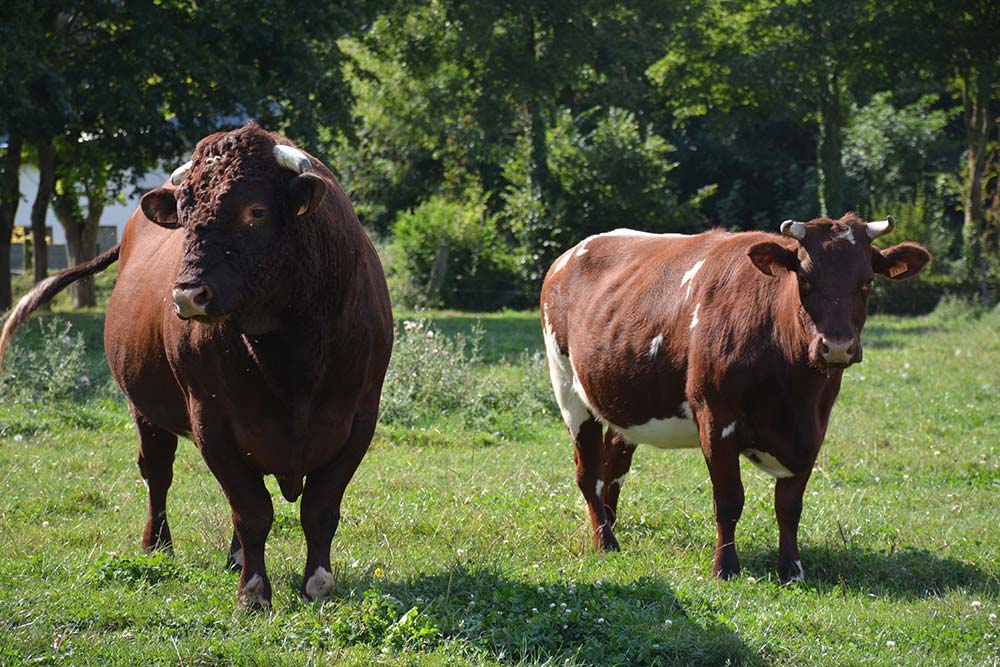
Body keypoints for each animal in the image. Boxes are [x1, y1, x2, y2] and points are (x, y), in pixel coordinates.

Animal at [0, 121, 393, 609]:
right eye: (185, 216)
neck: (292, 354)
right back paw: (158, 546)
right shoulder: (211, 419)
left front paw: (318, 584)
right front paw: (254, 594)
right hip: (144, 409)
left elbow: (319, 508)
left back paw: (235, 557)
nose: (188, 295)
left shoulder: (359, 418)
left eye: (256, 211)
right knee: (158, 473)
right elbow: (252, 510)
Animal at [540, 214, 930, 582]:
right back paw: (605, 542)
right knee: (589, 474)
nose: (836, 347)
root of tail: (568, 256)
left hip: (624, 401)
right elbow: (728, 500)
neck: (794, 392)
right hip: (568, 388)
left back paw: (610, 526)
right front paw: (725, 568)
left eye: (866, 282)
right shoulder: (715, 417)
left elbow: (789, 506)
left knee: (614, 466)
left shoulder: (814, 429)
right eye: (805, 280)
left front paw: (792, 568)